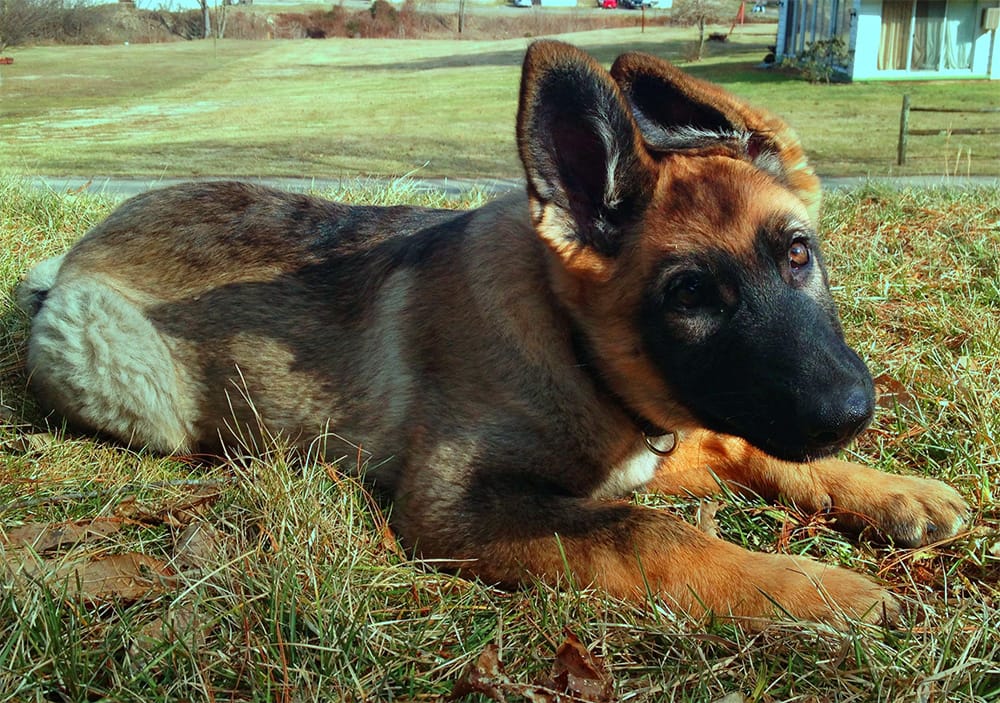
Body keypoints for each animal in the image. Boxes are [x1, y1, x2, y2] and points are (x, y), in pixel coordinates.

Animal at [19, 42, 964, 628]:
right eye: (690, 295)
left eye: (798, 254)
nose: (850, 411)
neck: (568, 339)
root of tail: (75, 254)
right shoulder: (454, 506)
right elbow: (648, 530)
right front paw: (818, 590)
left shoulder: (653, 439)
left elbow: (741, 444)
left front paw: (891, 489)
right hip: (136, 392)